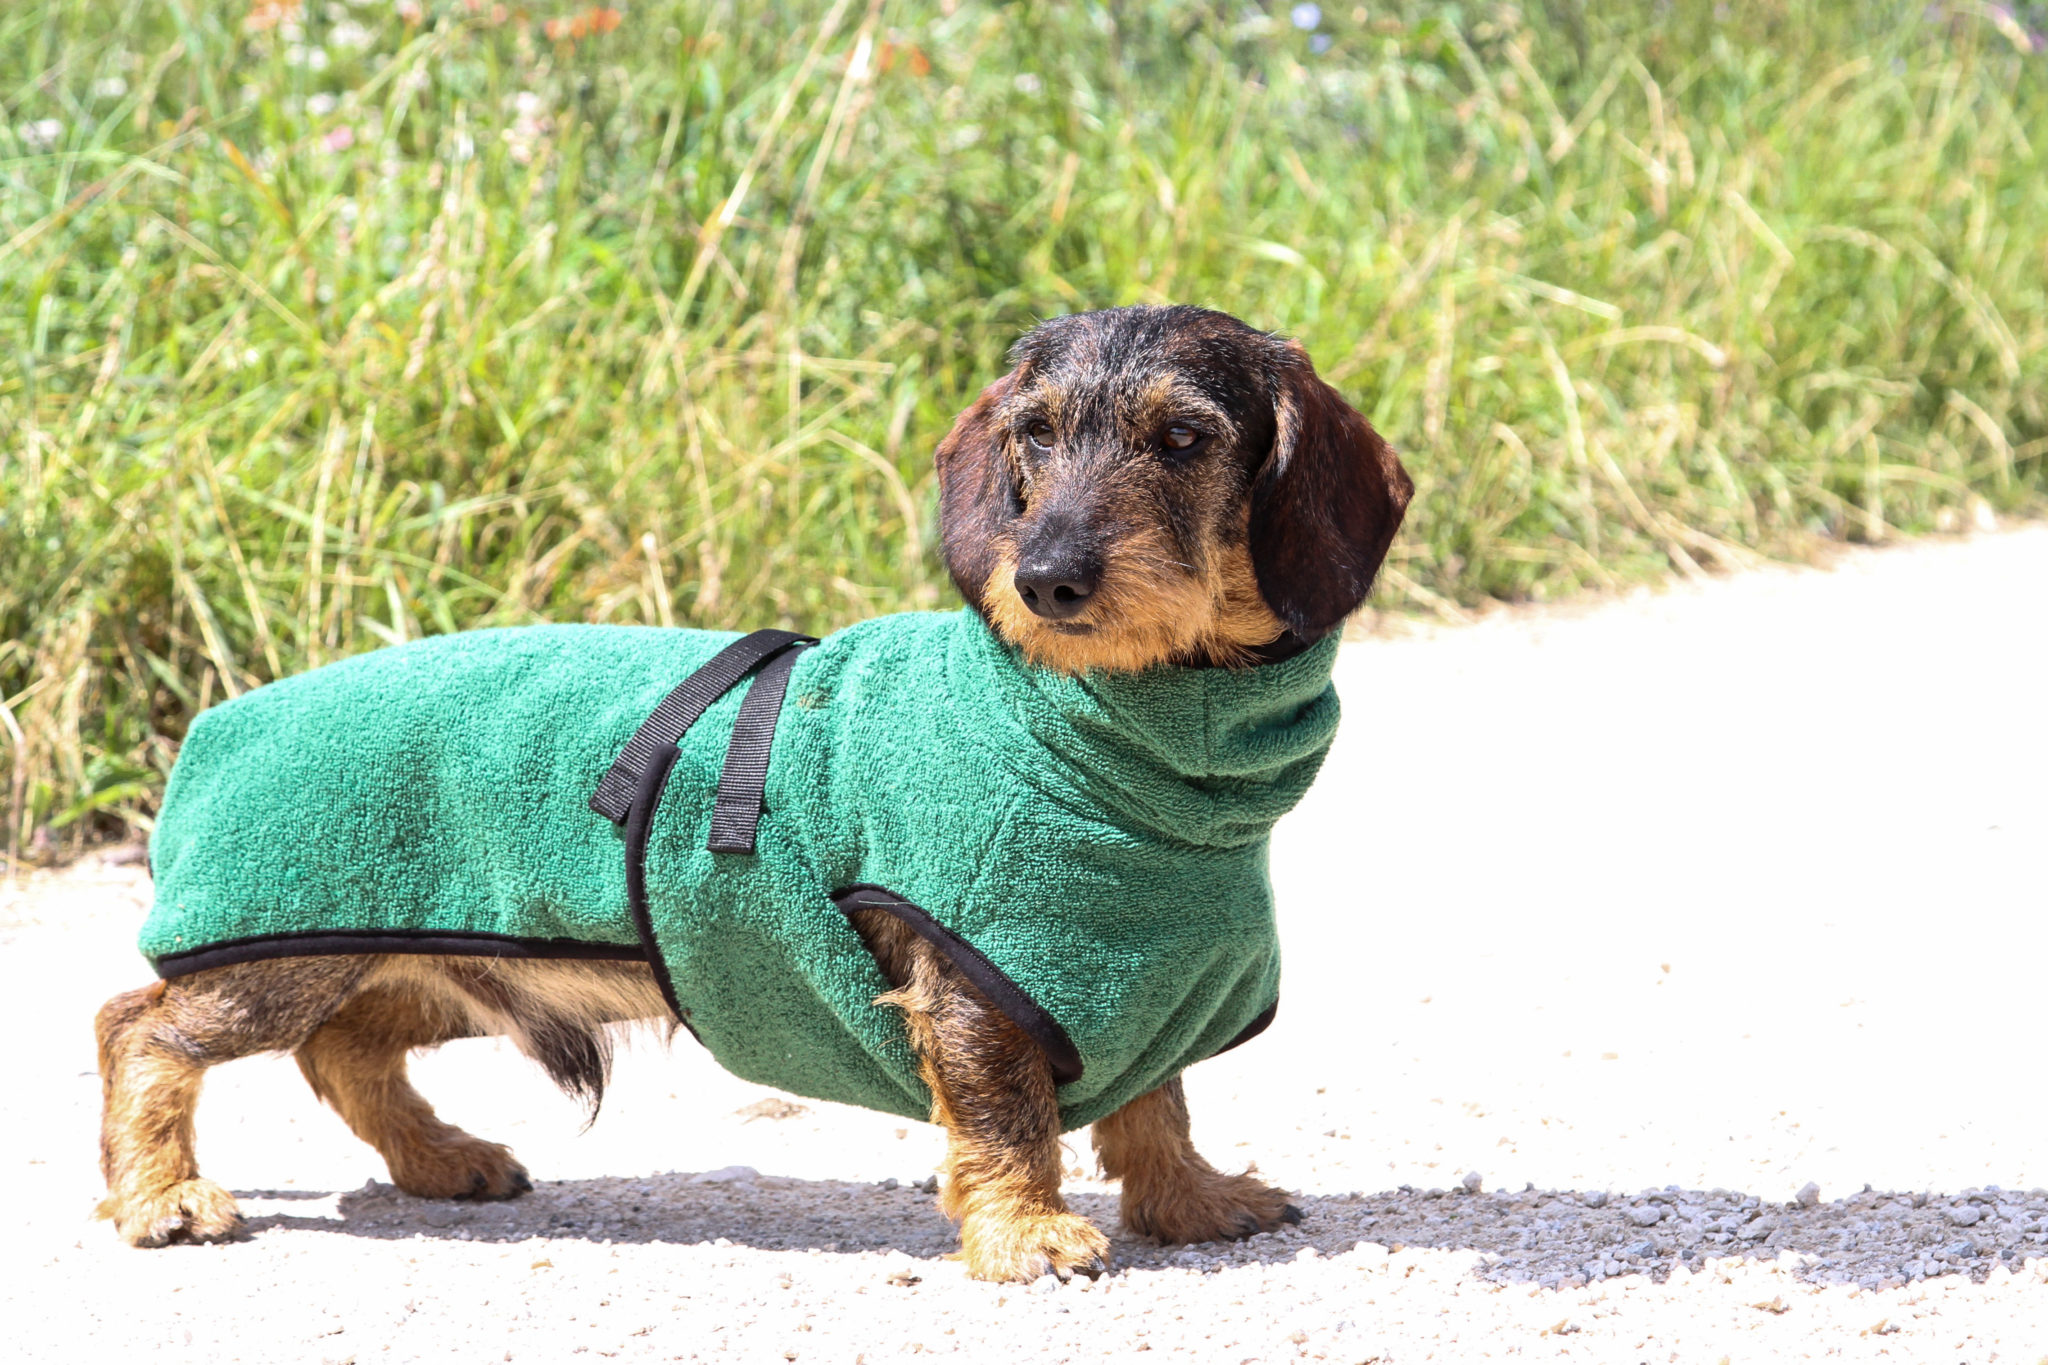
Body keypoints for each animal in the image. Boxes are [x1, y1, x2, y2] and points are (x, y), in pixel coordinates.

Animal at [96, 304, 1409, 1285]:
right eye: (1033, 437)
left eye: (1183, 438)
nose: (1041, 581)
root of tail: (224, 718)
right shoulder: (971, 990)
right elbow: (1011, 1122)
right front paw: (1027, 1233)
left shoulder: (1128, 970)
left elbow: (1158, 1107)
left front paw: (1193, 1198)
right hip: (290, 954)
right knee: (140, 1026)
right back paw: (161, 1196)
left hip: (433, 964)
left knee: (346, 1050)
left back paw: (439, 1159)